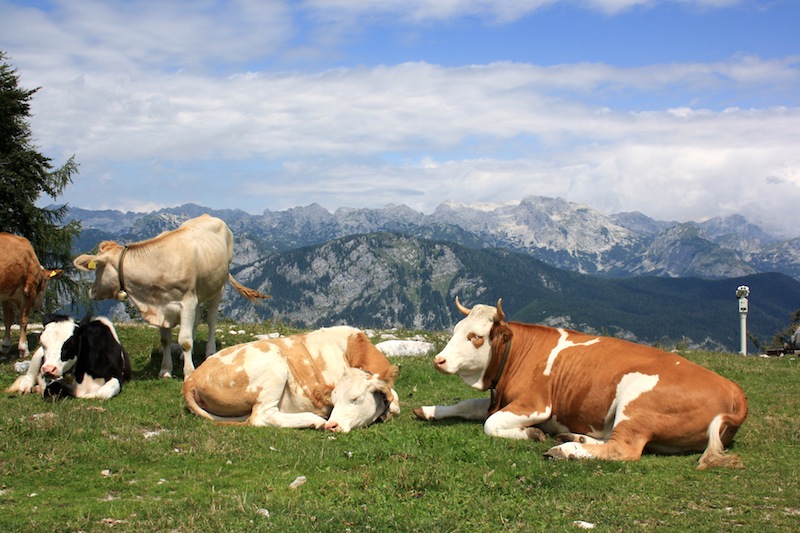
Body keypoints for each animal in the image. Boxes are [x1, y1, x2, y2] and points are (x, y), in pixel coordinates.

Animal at [185, 324, 404, 432]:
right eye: (333, 401)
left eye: (355, 398)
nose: (332, 425)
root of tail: (192, 377)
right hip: (274, 364)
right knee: (262, 416)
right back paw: (314, 420)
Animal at [416, 298, 748, 468]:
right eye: (456, 329)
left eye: (476, 336)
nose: (439, 360)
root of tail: (734, 390)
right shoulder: (498, 399)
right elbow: (467, 405)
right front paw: (429, 410)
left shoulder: (536, 404)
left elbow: (490, 424)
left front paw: (532, 434)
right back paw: (574, 438)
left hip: (635, 400)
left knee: (625, 449)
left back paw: (566, 450)